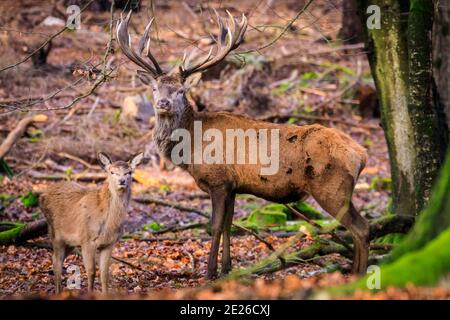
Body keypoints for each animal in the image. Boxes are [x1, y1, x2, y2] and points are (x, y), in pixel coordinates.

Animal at [40, 152, 143, 292]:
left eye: (129, 172)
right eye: (112, 172)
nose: (122, 181)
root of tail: (41, 196)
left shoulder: (109, 244)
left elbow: (104, 274)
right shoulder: (87, 241)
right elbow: (91, 272)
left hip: (69, 241)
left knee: (56, 260)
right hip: (55, 234)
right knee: (56, 261)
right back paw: (58, 292)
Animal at [117, 11, 370, 278]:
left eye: (180, 90)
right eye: (154, 88)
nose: (163, 103)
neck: (190, 146)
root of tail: (361, 155)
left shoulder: (218, 181)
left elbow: (216, 226)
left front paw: (210, 272)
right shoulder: (233, 186)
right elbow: (230, 225)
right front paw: (227, 268)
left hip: (331, 188)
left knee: (361, 228)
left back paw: (358, 275)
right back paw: (354, 273)